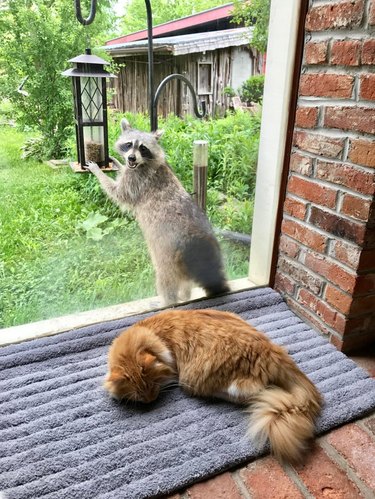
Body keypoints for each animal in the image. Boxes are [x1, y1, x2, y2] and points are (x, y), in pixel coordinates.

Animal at [85, 119, 231, 306]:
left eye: (143, 148)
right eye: (128, 144)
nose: (131, 158)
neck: (143, 163)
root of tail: (199, 245)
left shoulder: (137, 180)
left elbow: (118, 193)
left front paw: (98, 171)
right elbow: (124, 171)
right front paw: (118, 163)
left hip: (168, 259)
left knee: (166, 282)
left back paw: (168, 302)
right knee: (186, 285)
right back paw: (185, 296)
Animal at [105, 310, 324, 462]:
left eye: (152, 385)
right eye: (140, 394)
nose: (150, 399)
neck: (151, 335)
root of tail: (271, 349)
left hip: (201, 380)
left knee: (251, 394)